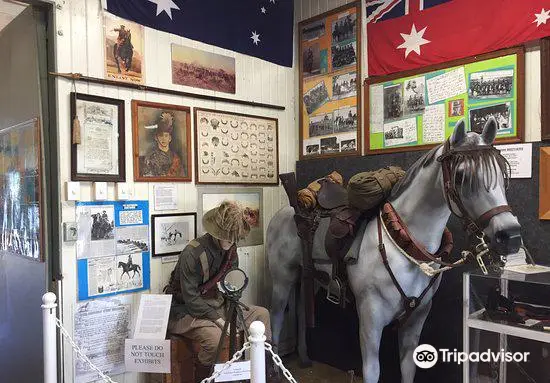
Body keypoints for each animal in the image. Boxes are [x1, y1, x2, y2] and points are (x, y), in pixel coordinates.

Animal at [270, 118, 524, 382]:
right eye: (461, 175)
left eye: (502, 172)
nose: (510, 235)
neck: (404, 247)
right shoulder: (370, 320)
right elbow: (372, 371)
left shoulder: (415, 320)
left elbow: (408, 368)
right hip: (282, 279)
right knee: (276, 317)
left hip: (308, 279)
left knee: (300, 313)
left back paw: (304, 358)